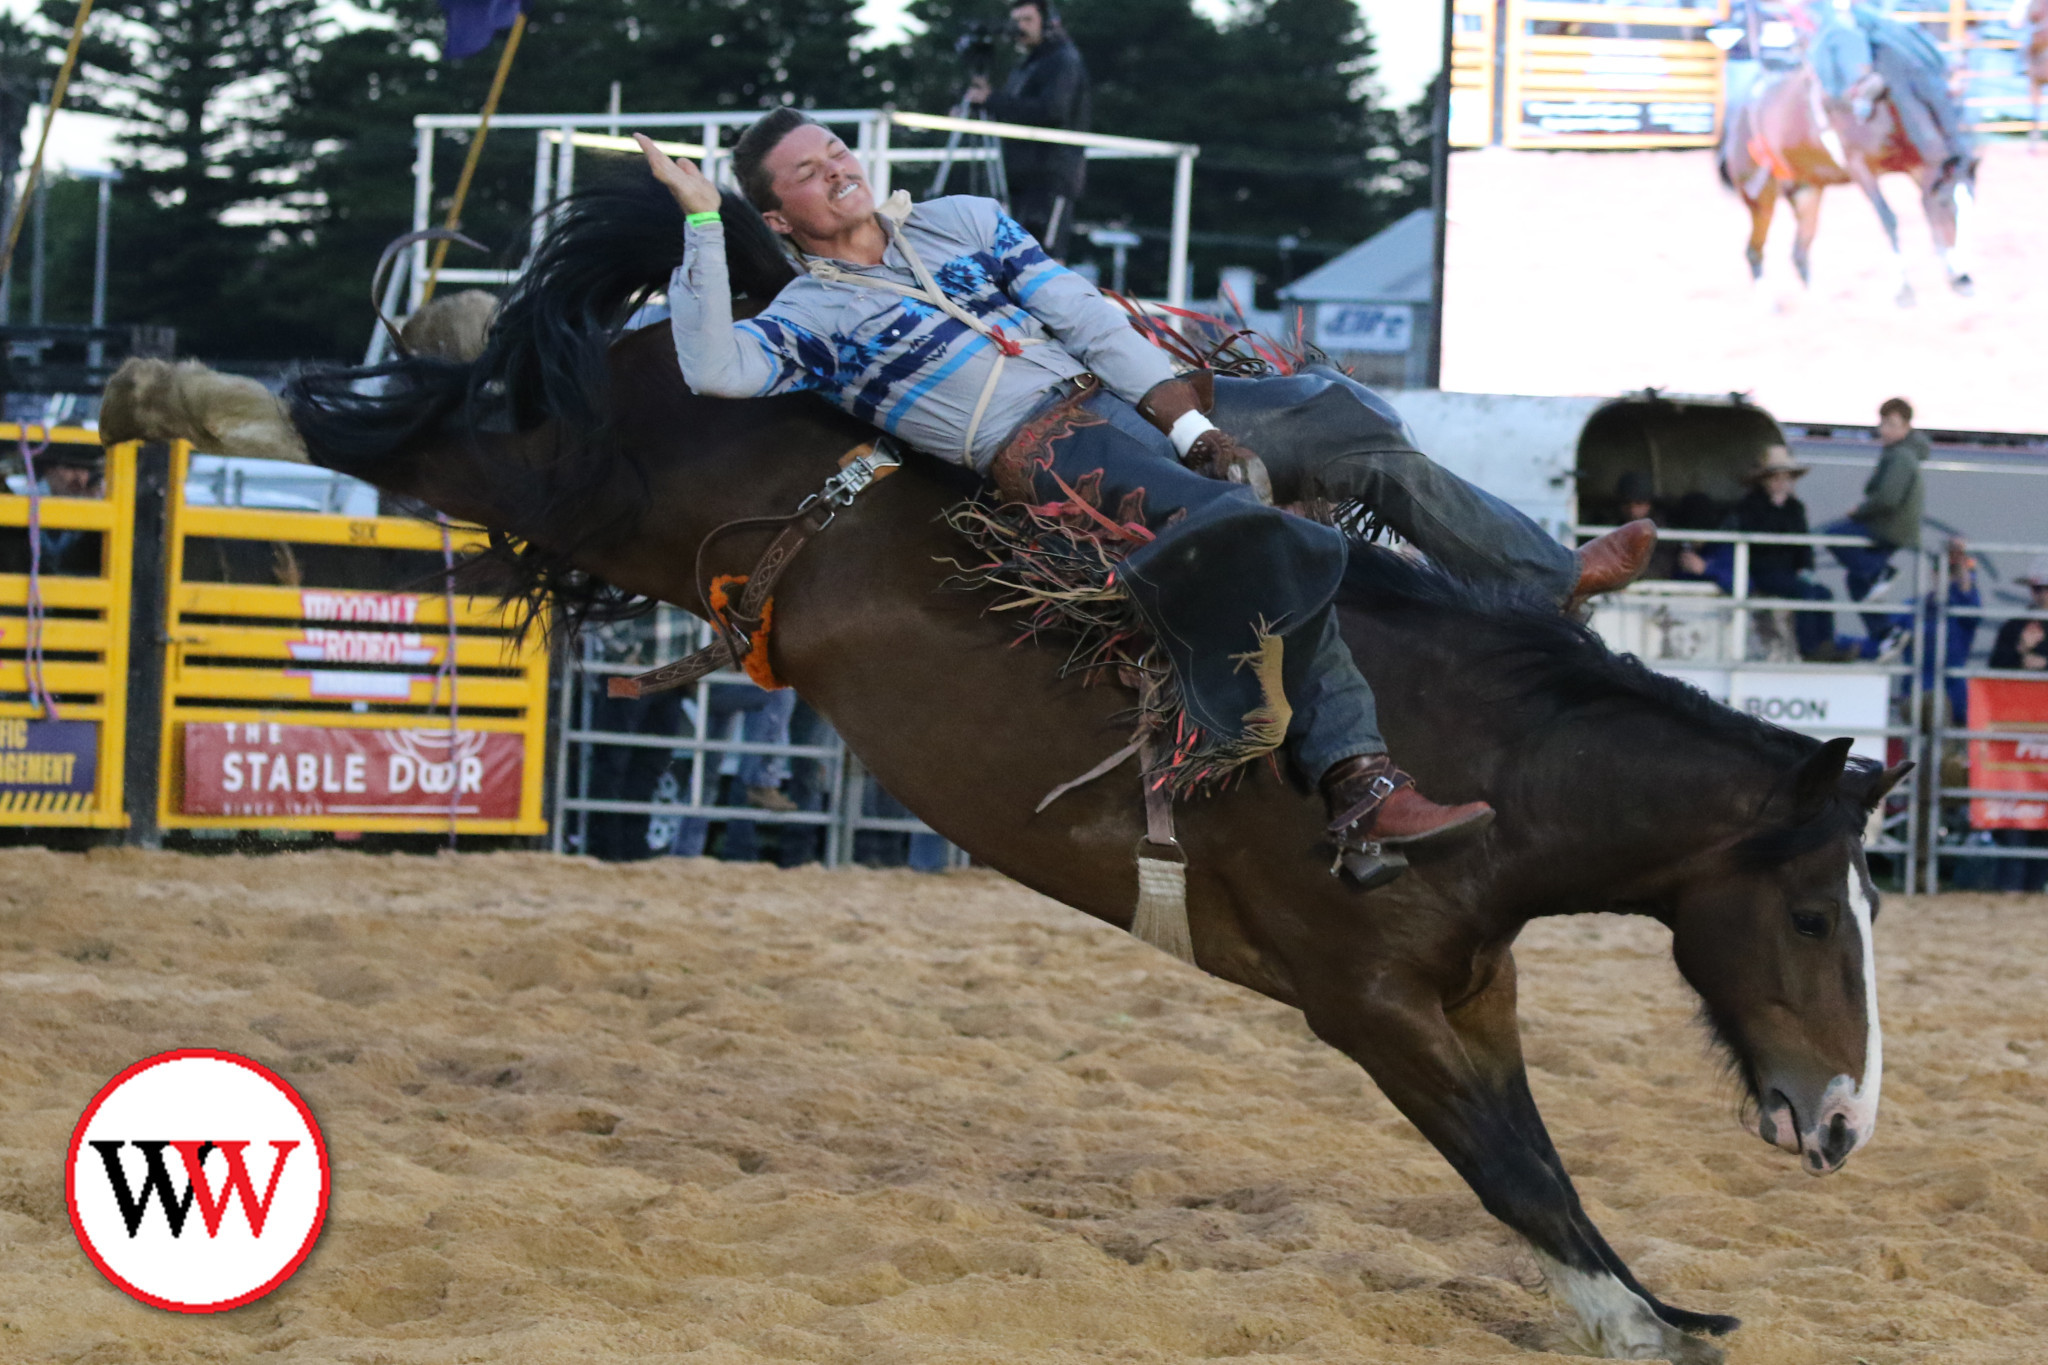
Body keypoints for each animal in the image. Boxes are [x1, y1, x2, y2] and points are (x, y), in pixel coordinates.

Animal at [103, 175, 1908, 1358]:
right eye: (1815, 914)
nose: (1841, 1122)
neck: (1485, 764)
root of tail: (745, 313)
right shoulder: (1373, 1005)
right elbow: (1515, 1172)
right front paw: (1645, 1320)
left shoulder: (1474, 995)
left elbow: (1543, 1172)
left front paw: (1647, 1306)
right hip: (569, 475)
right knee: (403, 429)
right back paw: (160, 384)